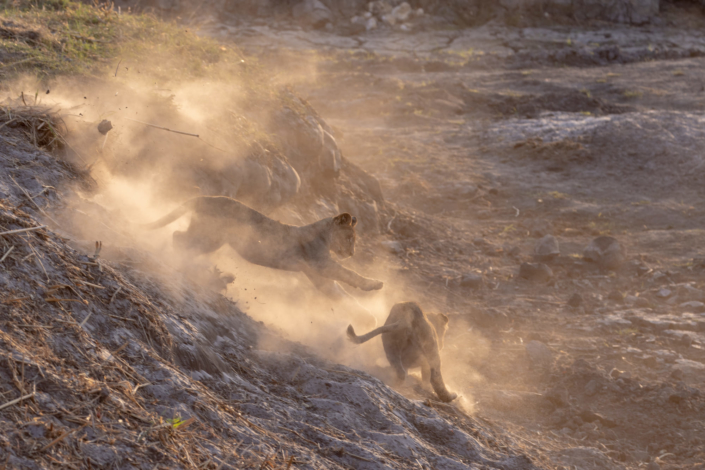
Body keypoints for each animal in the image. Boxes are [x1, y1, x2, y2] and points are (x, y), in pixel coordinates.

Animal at [142, 196, 382, 296]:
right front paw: (375, 284)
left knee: (178, 235)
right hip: (210, 236)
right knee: (179, 239)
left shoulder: (316, 273)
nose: (351, 253)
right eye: (349, 238)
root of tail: (206, 196)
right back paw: (183, 261)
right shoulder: (321, 263)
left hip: (210, 237)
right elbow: (348, 274)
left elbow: (338, 288)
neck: (324, 234)